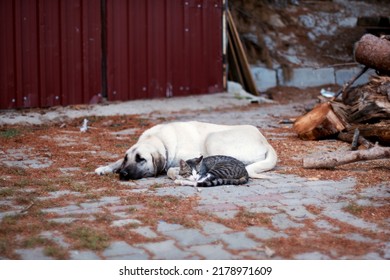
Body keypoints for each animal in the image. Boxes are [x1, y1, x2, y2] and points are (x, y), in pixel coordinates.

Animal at [95, 120, 278, 179]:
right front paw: (105, 168)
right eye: (128, 158)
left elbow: (173, 169)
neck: (159, 140)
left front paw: (175, 172)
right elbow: (116, 161)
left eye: (141, 159)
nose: (123, 174)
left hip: (213, 139)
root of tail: (265, 141)